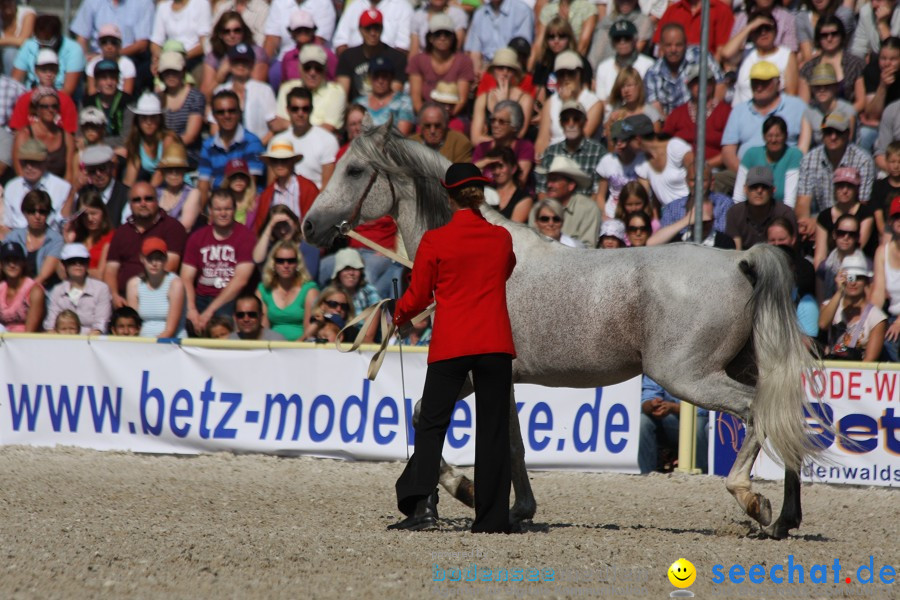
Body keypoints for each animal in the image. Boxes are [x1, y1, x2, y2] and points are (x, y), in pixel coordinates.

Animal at [304, 122, 828, 540]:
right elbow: (512, 442)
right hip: (740, 369)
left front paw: (463, 492)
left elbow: (421, 416)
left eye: (354, 170)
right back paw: (786, 519)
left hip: (690, 378)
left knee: (755, 412)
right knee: (784, 418)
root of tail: (741, 259)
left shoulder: (467, 369)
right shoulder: (503, 376)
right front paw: (517, 509)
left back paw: (751, 499)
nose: (309, 226)